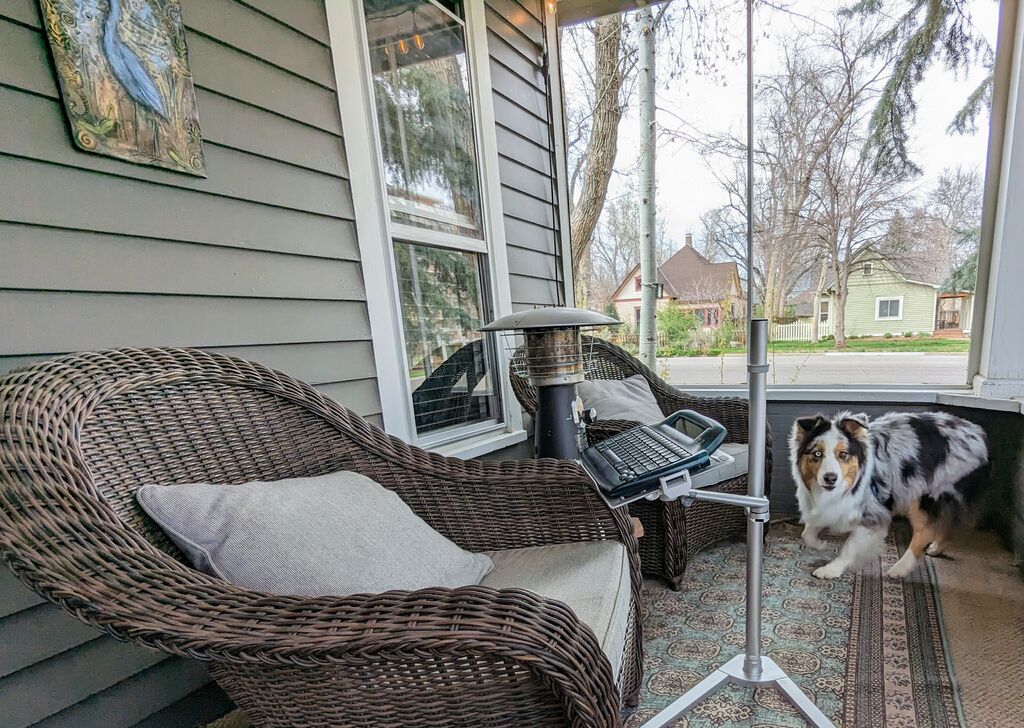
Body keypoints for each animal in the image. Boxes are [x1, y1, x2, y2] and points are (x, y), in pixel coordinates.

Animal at [786, 409, 987, 581]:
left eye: (843, 454)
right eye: (817, 453)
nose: (830, 478)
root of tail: (977, 432)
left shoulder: (874, 512)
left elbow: (850, 546)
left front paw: (831, 569)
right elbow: (807, 533)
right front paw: (820, 544)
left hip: (921, 493)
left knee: (925, 530)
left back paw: (900, 568)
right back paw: (936, 548)